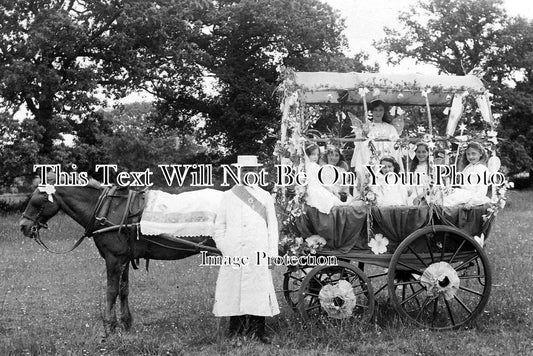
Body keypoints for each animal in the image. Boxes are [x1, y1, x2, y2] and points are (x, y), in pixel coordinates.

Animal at [18, 179, 218, 338]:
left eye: (38, 200)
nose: (23, 226)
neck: (107, 209)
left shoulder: (113, 259)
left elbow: (111, 291)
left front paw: (110, 327)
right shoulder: (124, 259)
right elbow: (123, 290)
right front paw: (126, 323)